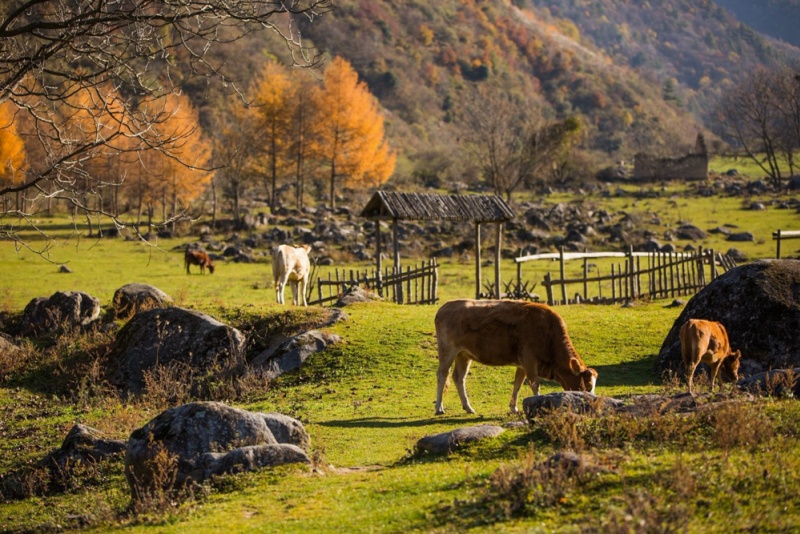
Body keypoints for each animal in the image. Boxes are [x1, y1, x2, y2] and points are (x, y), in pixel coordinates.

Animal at [434, 300, 596, 416]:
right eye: (586, 387)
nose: (592, 406)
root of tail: (445, 307)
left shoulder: (522, 364)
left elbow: (518, 384)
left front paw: (514, 408)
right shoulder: (530, 360)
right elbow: (534, 384)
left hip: (463, 355)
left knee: (459, 377)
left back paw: (468, 407)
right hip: (447, 351)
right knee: (442, 374)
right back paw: (439, 408)